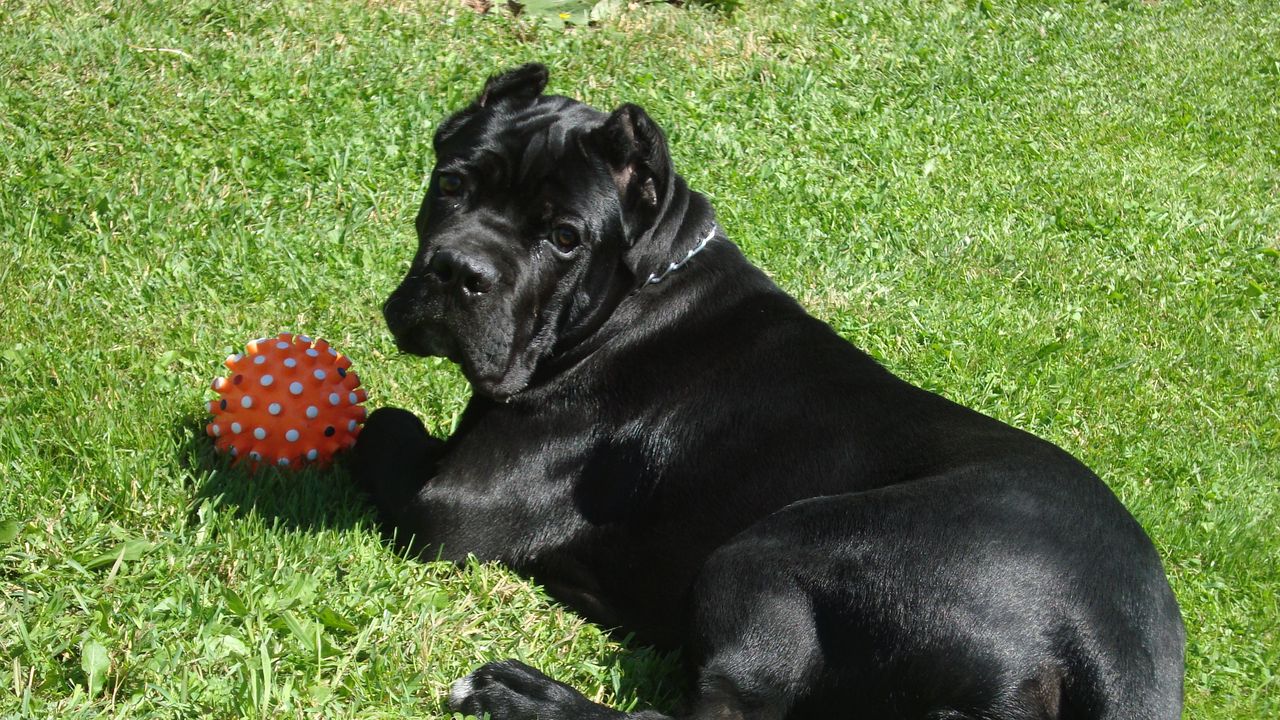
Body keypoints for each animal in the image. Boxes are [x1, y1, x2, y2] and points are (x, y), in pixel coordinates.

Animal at [348, 64, 1177, 712]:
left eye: (563, 237)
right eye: (451, 182)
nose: (457, 271)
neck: (641, 286)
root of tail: (1108, 640)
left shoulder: (454, 507)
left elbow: (381, 422)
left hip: (769, 552)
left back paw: (522, 693)